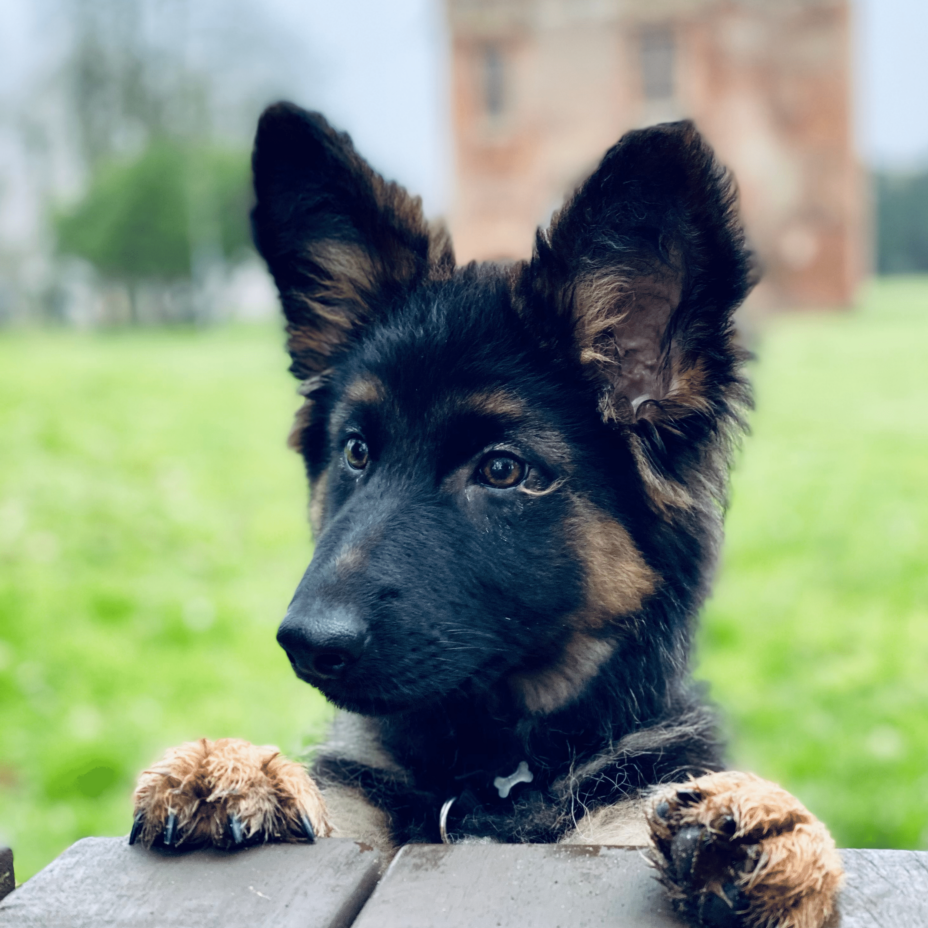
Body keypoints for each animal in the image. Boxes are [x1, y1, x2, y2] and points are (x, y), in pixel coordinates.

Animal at [132, 103, 848, 928]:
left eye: (503, 470)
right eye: (356, 451)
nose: (307, 643)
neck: (490, 778)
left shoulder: (621, 809)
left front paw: (774, 831)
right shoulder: (364, 802)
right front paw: (240, 765)